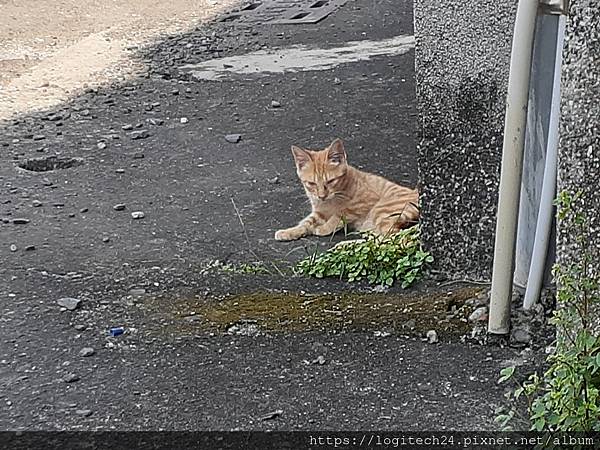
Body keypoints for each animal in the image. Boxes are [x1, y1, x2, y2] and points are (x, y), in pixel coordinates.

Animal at [276, 138, 420, 241]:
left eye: (330, 181)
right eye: (311, 183)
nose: (322, 196)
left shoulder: (362, 203)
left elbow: (340, 214)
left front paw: (324, 228)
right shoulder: (319, 212)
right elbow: (306, 222)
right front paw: (289, 232)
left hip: (380, 211)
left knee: (394, 239)